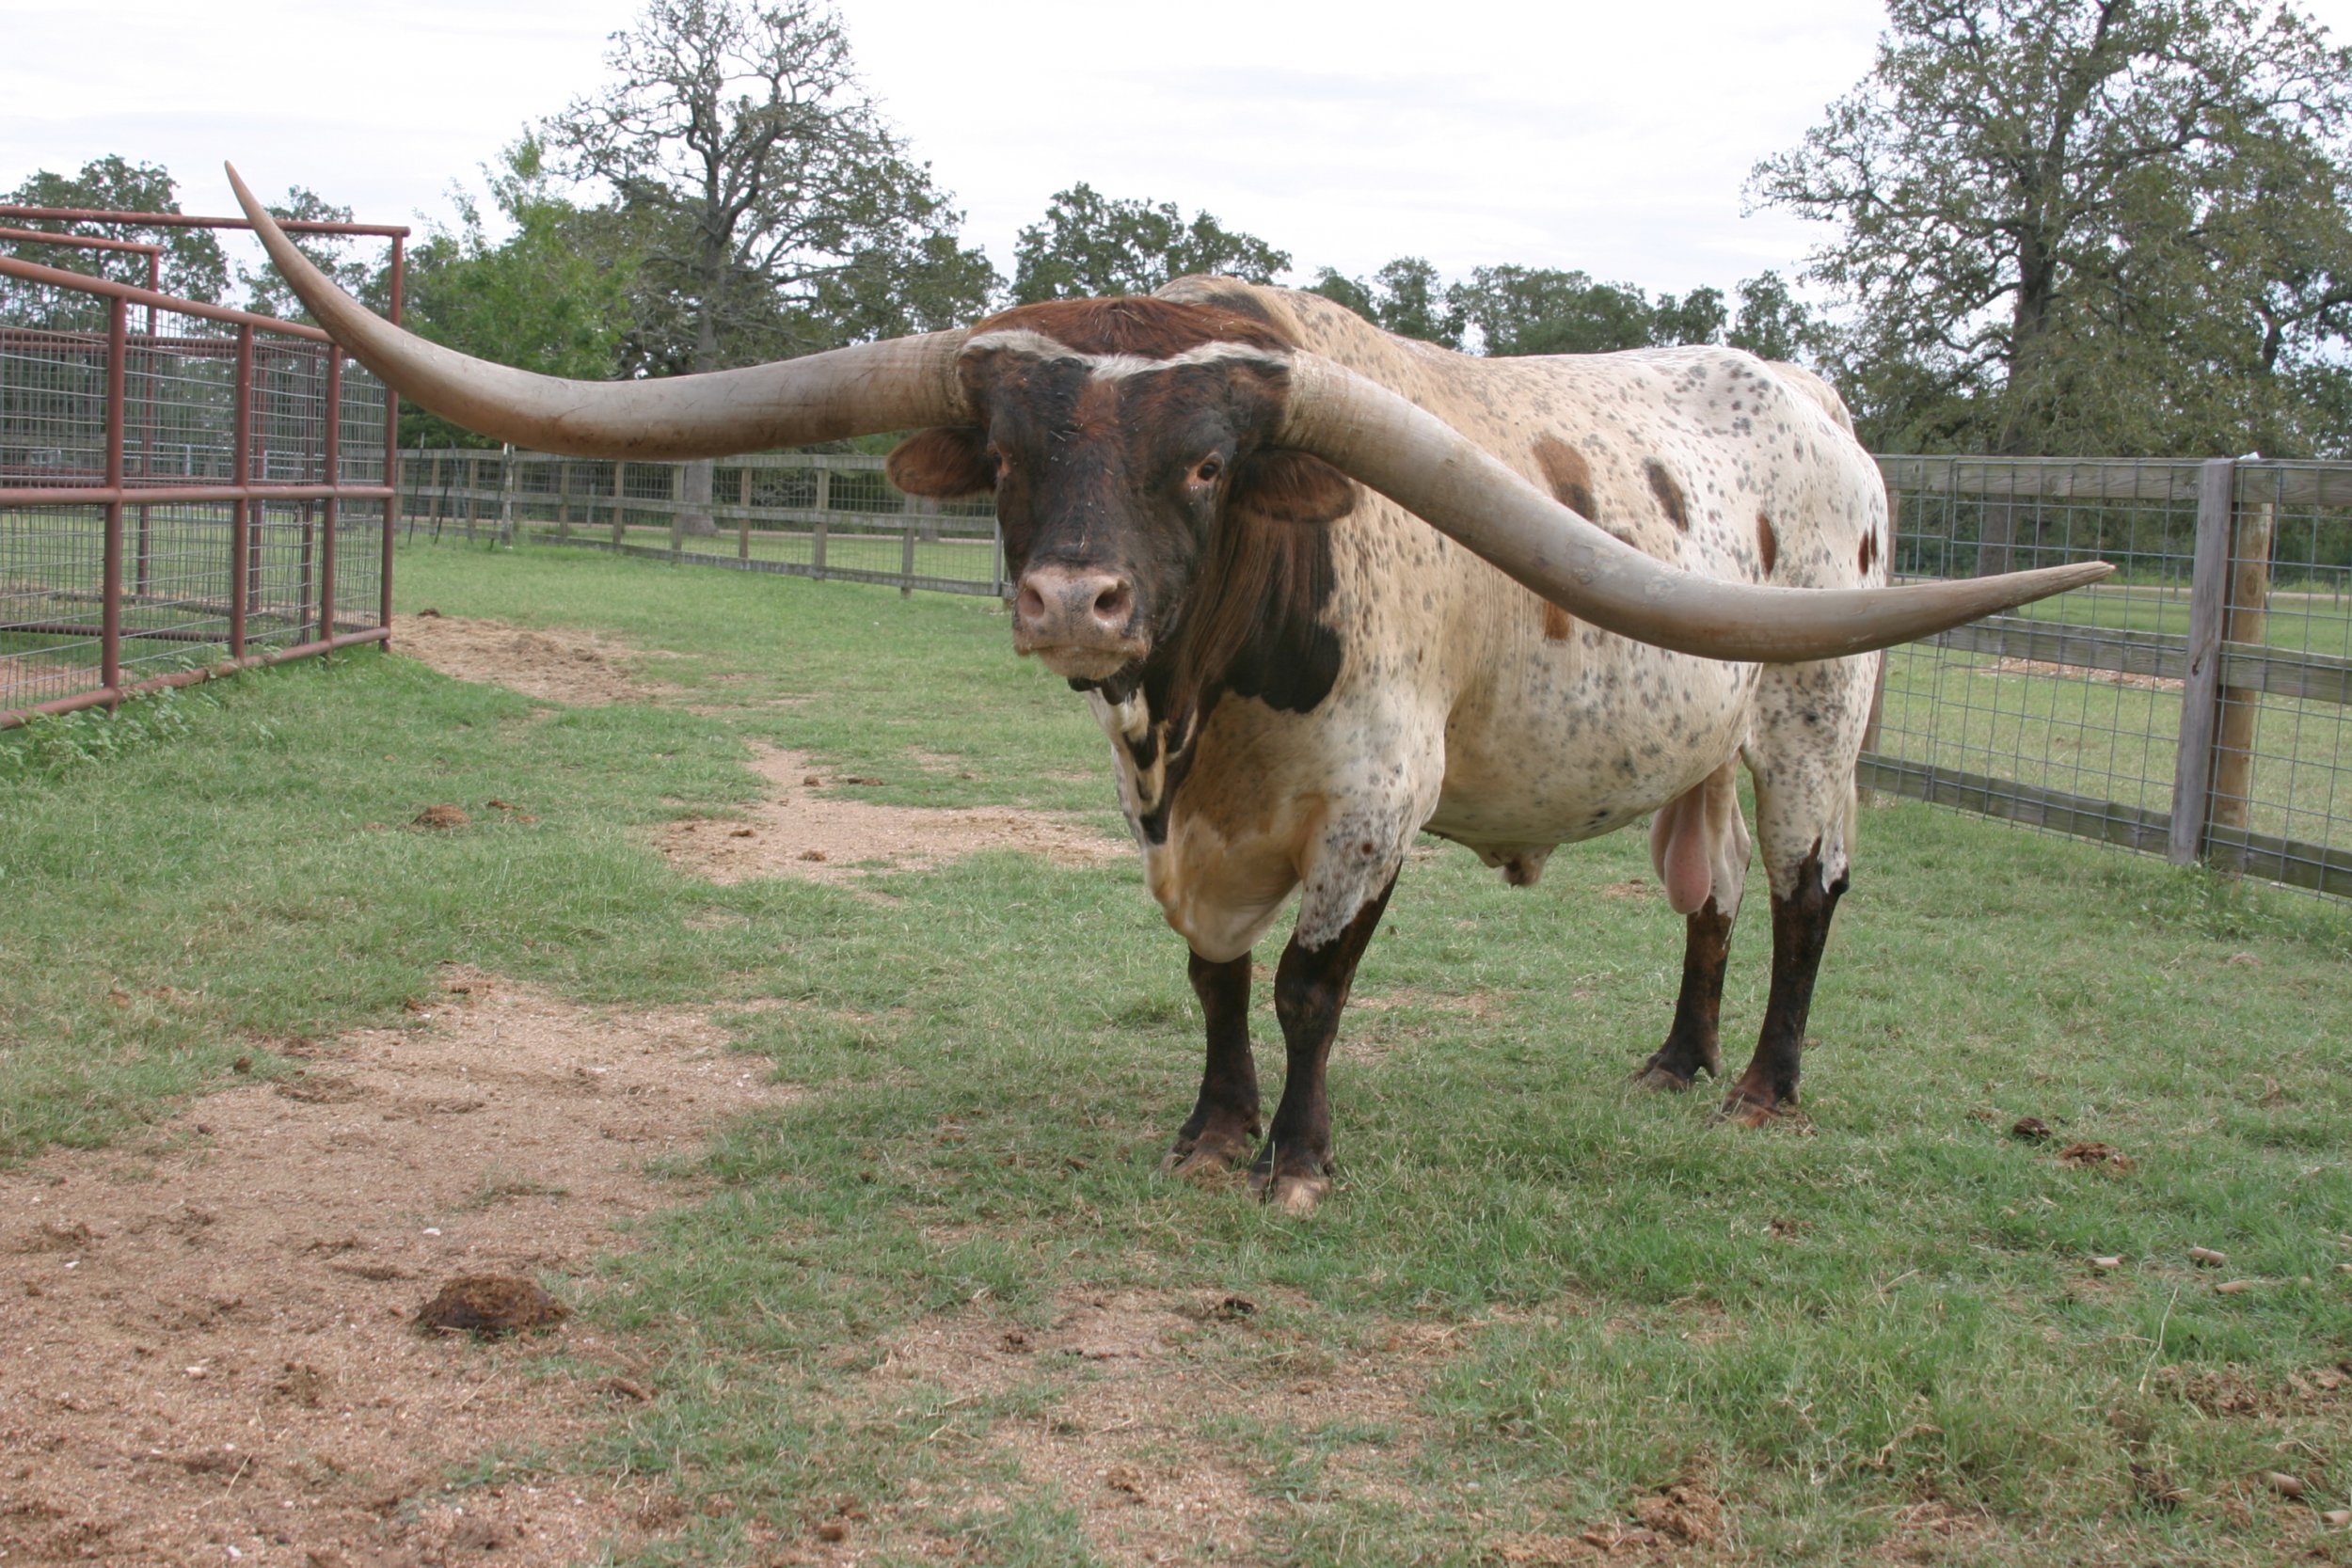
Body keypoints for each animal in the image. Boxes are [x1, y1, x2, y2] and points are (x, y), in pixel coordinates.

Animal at [243, 168, 2117, 1212]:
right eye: (1010, 454)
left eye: (1208, 465)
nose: (1073, 599)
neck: (1211, 714)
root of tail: (1814, 400)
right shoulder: (1174, 820)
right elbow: (1212, 978)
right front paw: (1210, 1129)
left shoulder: (1375, 804)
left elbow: (1305, 984)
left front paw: (1294, 1157)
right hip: (1699, 739)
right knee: (1706, 895)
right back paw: (1672, 1058)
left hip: (1815, 719)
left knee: (1807, 890)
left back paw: (1763, 1089)